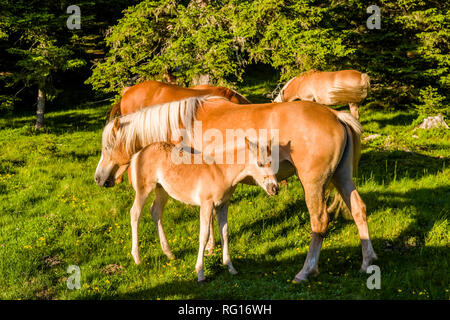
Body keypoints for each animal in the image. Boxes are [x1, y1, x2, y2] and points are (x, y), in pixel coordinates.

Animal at [94, 95, 376, 282]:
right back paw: (367, 262)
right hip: (342, 178)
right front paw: (212, 251)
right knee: (359, 210)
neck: (184, 125)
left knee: (319, 222)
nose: (98, 178)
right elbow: (213, 225)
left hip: (313, 184)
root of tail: (336, 115)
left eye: (107, 146)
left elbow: (207, 226)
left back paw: (306, 271)